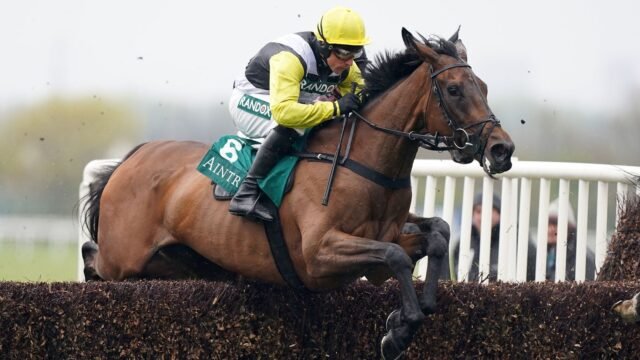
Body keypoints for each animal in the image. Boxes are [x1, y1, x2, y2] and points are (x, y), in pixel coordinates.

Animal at [82, 28, 516, 360]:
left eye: (484, 87)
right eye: (455, 89)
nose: (502, 149)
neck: (361, 160)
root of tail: (131, 158)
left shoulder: (386, 235)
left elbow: (437, 232)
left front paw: (410, 314)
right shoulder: (319, 253)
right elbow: (394, 256)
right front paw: (398, 330)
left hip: (175, 264)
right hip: (123, 259)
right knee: (91, 257)